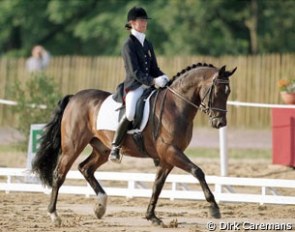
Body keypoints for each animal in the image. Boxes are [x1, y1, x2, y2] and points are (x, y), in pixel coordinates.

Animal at [31, 62, 237, 226]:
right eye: (217, 91)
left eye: (228, 93)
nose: (220, 123)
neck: (176, 106)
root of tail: (74, 97)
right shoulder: (170, 151)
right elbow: (197, 171)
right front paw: (214, 207)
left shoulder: (167, 157)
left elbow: (157, 184)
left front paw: (151, 216)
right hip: (73, 146)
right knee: (59, 174)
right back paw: (54, 215)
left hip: (102, 149)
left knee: (85, 168)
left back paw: (100, 206)